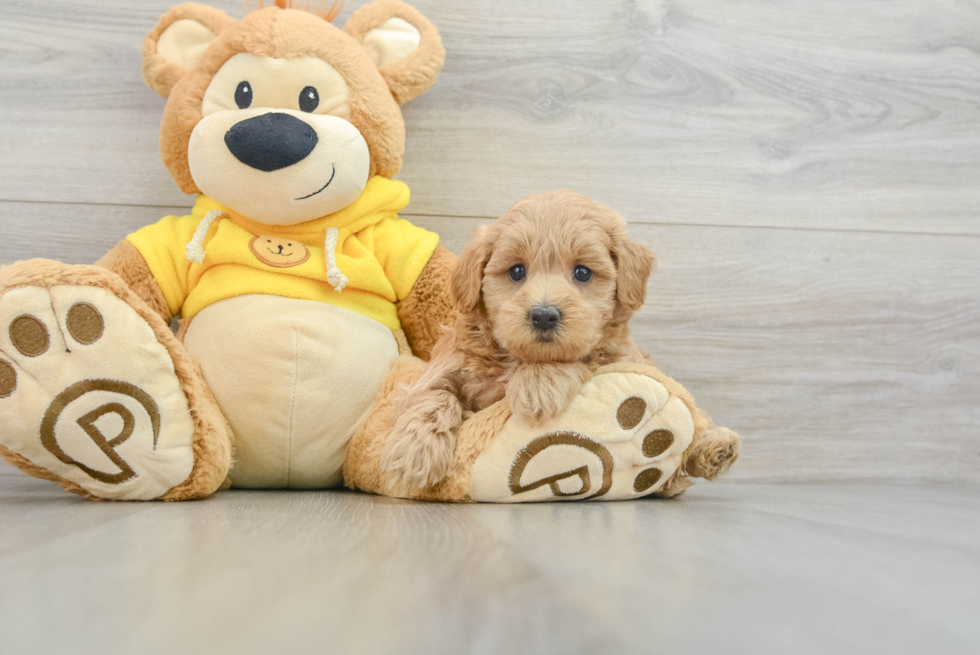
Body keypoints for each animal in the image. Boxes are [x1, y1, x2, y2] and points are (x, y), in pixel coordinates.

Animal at [382, 190, 660, 492]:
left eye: (583, 272)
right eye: (516, 271)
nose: (544, 316)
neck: (516, 359)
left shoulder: (620, 358)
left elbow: (581, 357)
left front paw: (538, 384)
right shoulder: (440, 369)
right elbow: (433, 395)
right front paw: (414, 452)